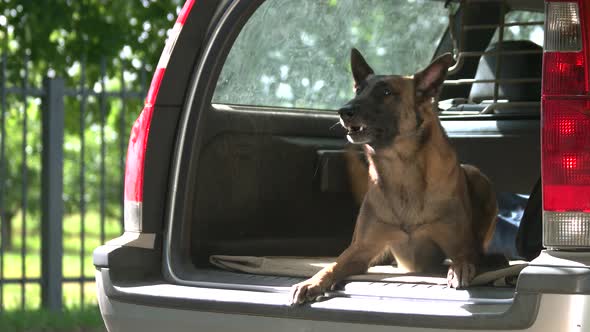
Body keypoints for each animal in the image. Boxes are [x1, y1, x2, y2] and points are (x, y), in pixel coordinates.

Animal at [290, 48, 500, 304]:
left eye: (386, 92)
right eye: (359, 90)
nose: (343, 111)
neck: (402, 170)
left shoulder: (460, 245)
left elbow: (464, 256)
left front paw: (460, 268)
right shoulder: (359, 250)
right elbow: (331, 266)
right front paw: (312, 282)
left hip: (477, 176)